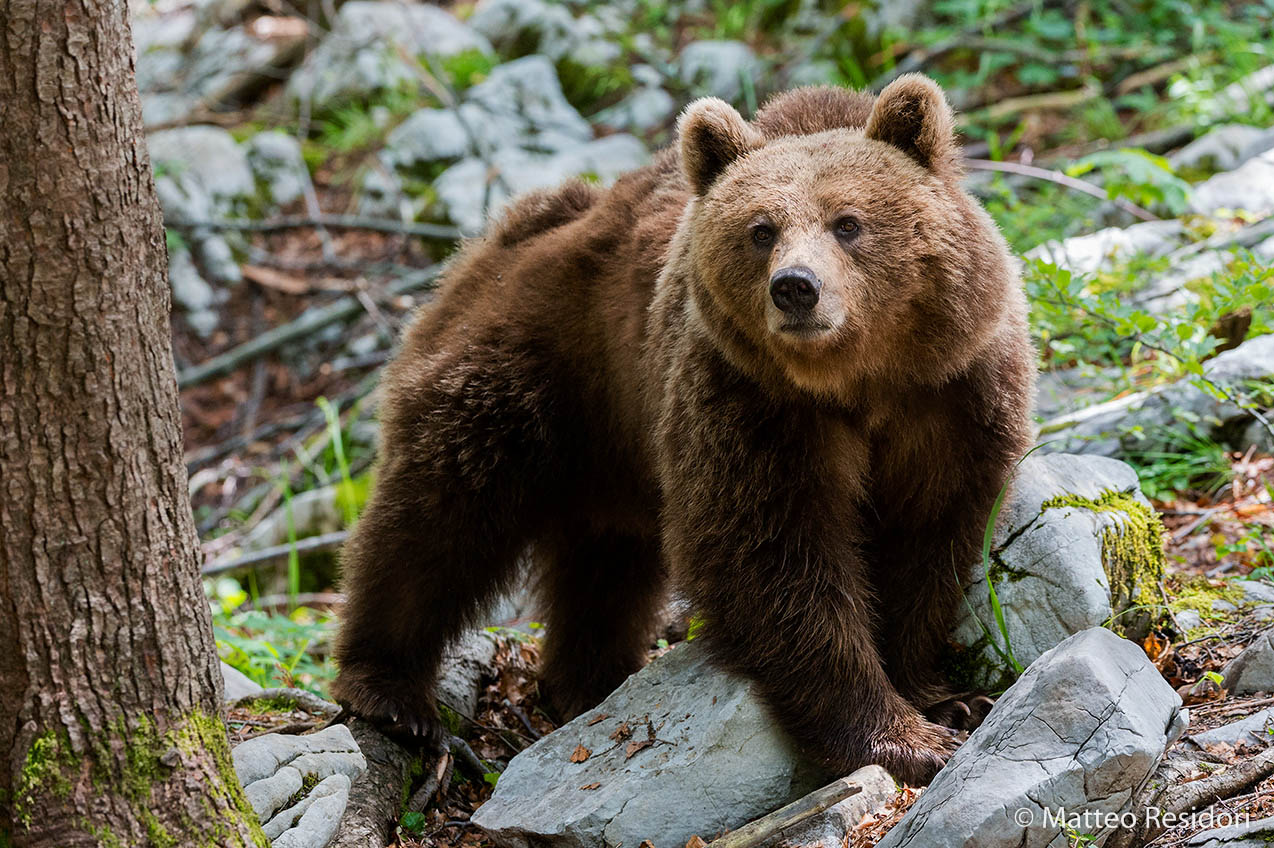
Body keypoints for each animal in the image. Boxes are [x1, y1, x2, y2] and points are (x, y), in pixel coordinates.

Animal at [331, 74, 1036, 785]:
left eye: (848, 223)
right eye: (761, 230)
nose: (796, 287)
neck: (854, 380)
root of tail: (498, 236)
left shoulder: (950, 396)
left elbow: (929, 540)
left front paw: (942, 697)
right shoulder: (751, 403)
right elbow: (772, 554)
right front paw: (898, 735)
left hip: (611, 445)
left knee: (603, 564)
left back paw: (588, 680)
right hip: (534, 374)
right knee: (441, 515)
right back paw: (391, 690)